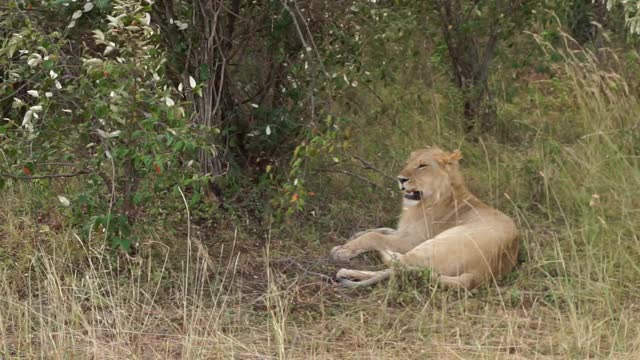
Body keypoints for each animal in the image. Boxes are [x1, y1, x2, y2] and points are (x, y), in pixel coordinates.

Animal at [332, 146, 516, 290]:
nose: (400, 179)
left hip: (436, 243)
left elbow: (374, 236)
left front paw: (343, 249)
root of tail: (479, 275)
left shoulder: (412, 240)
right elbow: (383, 229)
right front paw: (355, 235)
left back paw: (349, 271)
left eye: (422, 165)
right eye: (408, 163)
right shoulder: (405, 231)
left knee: (398, 265)